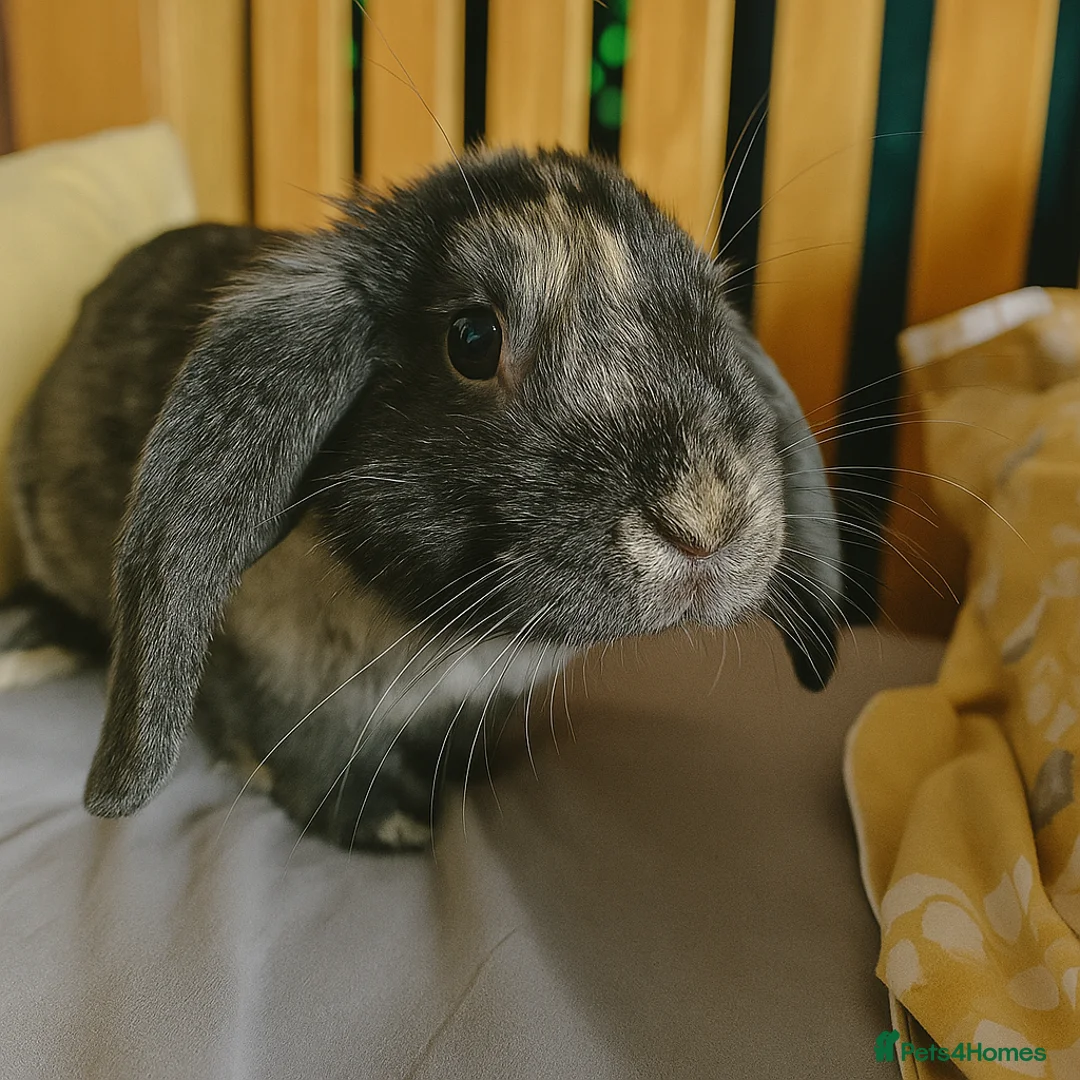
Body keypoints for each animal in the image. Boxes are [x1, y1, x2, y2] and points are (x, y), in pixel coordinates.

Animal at [3, 148, 841, 851]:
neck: (460, 637)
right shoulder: (270, 676)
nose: (705, 520)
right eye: (472, 339)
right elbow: (304, 753)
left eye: (713, 322)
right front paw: (392, 825)